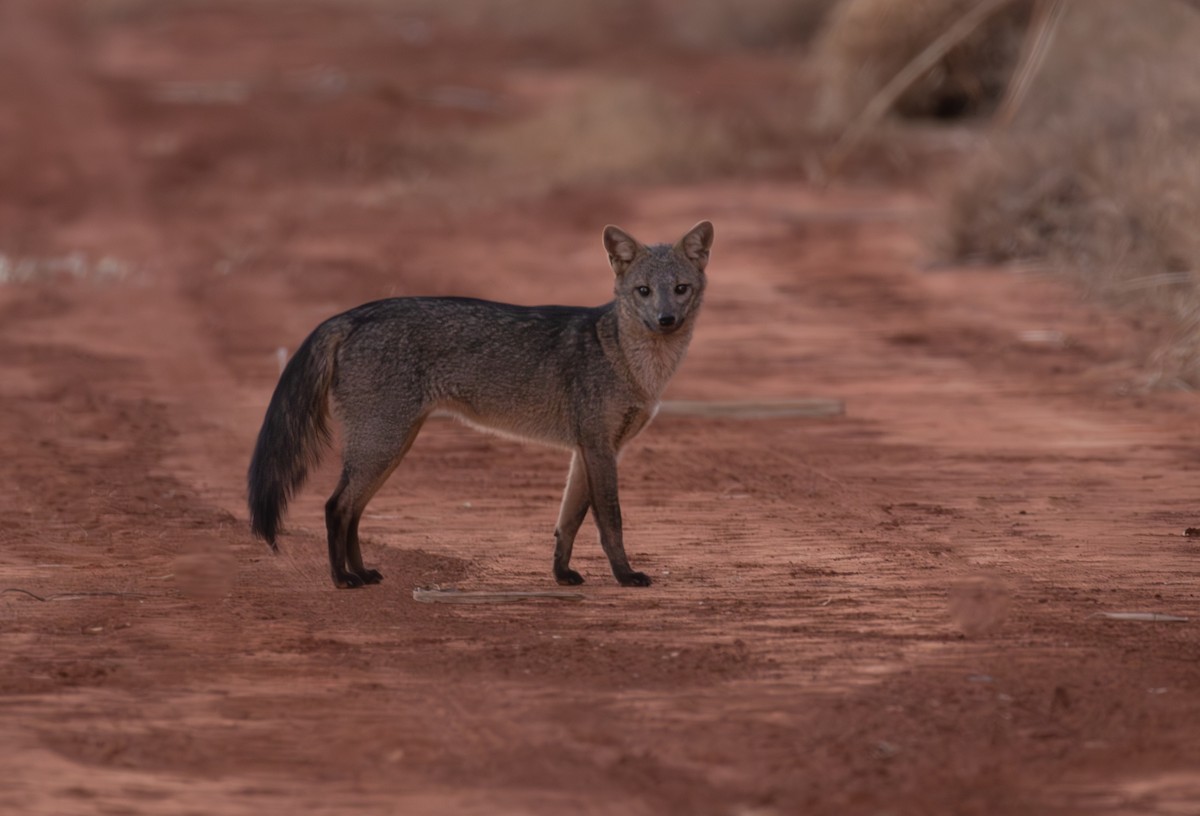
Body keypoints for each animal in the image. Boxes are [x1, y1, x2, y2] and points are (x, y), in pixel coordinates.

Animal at [247, 220, 713, 589]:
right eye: (643, 291)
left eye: (680, 289)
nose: (666, 320)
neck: (629, 360)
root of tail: (352, 314)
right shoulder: (599, 448)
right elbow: (610, 521)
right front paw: (625, 576)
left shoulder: (588, 451)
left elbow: (568, 521)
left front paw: (561, 575)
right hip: (381, 446)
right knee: (335, 507)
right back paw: (342, 579)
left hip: (388, 449)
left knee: (352, 511)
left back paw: (360, 573)